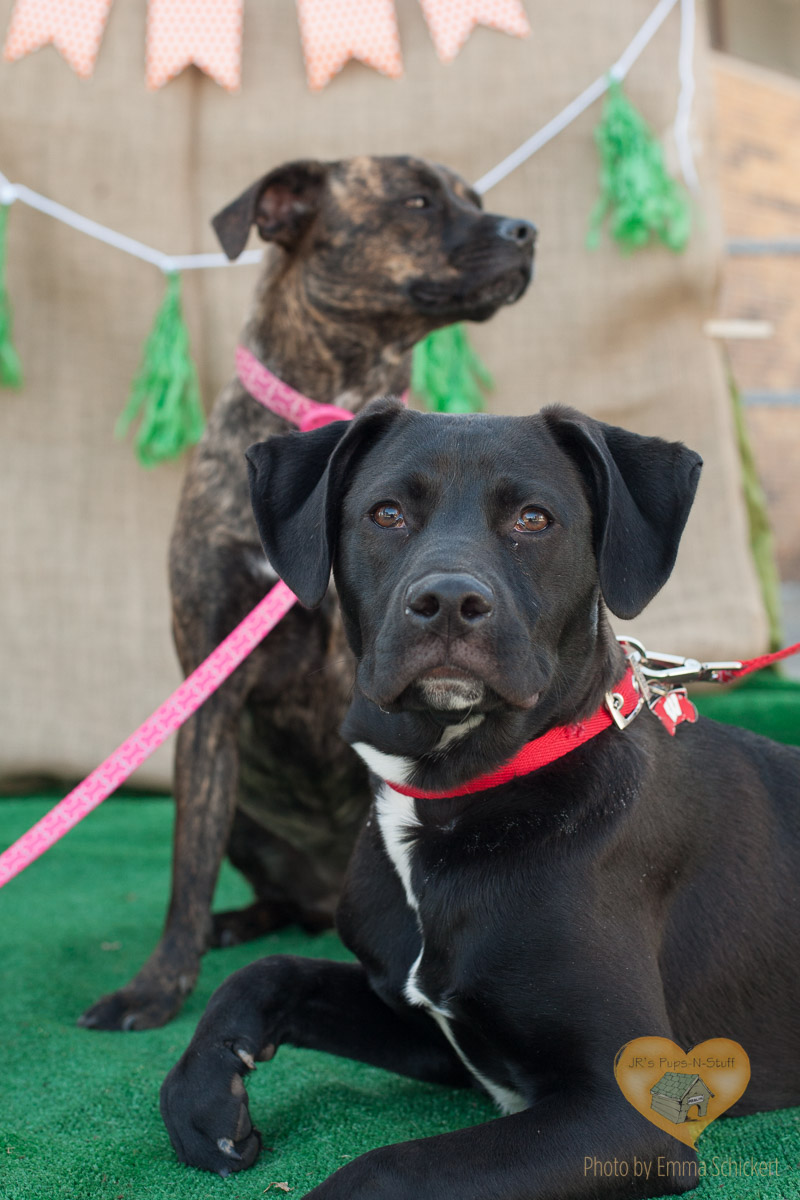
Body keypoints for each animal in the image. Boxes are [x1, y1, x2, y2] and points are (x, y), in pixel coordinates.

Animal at [79, 157, 535, 1031]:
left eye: (479, 200)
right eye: (417, 199)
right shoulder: (211, 690)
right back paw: (235, 923)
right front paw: (157, 984)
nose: (526, 230)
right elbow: (187, 867)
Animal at [160, 400, 800, 1197]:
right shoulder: (434, 1029)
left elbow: (386, 1170)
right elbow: (272, 969)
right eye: (387, 513)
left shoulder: (625, 1110)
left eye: (533, 518)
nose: (446, 603)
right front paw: (202, 1091)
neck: (452, 798)